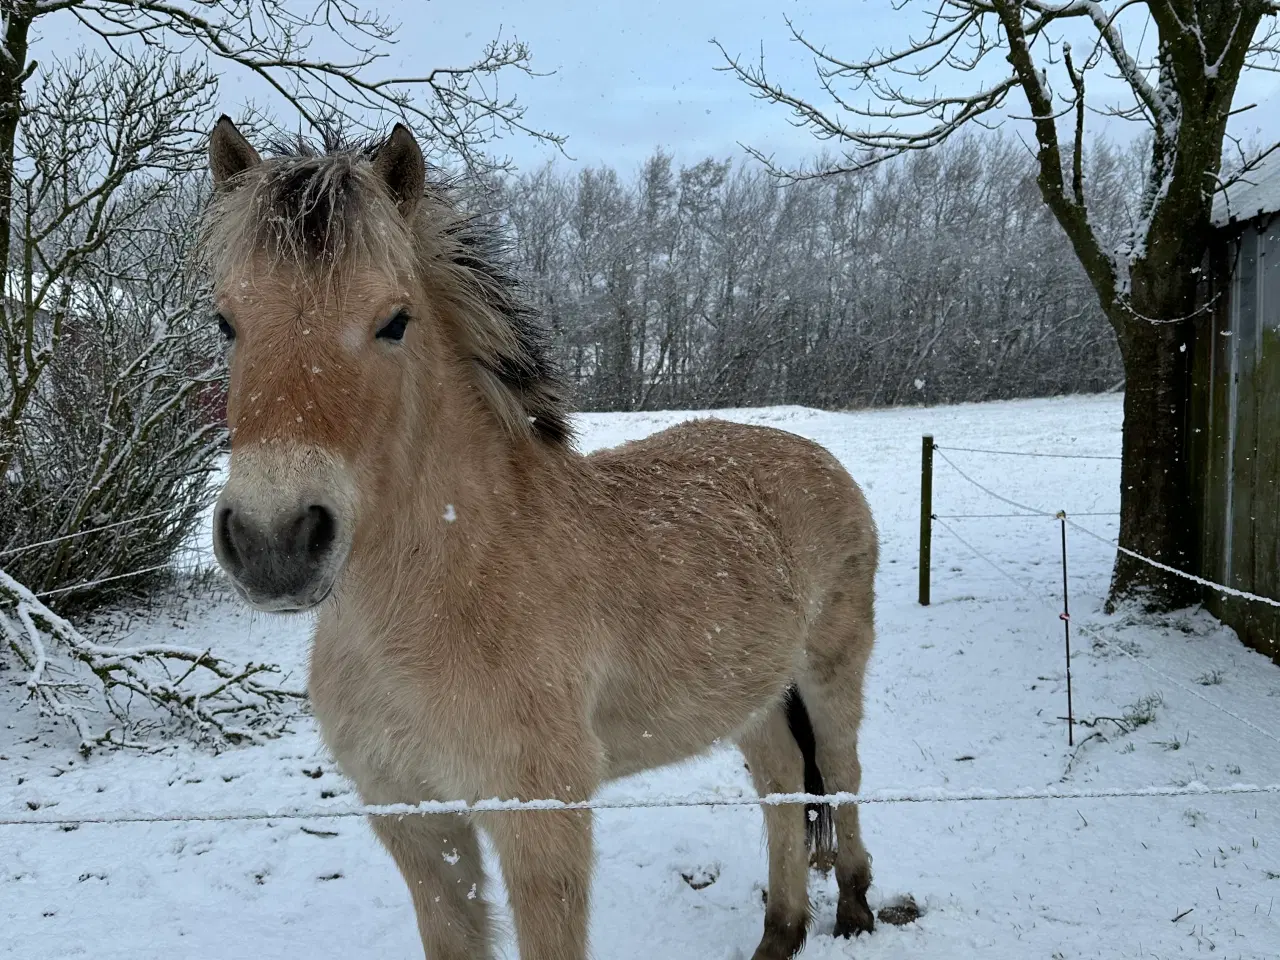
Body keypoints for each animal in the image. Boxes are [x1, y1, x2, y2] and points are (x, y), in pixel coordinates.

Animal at [202, 114, 880, 960]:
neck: (449, 590)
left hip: (830, 675)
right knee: (783, 783)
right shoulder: (417, 828)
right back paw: (780, 934)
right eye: (225, 321)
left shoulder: (540, 825)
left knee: (844, 774)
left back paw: (854, 909)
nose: (275, 540)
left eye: (394, 321)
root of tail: (818, 458)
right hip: (753, 697)